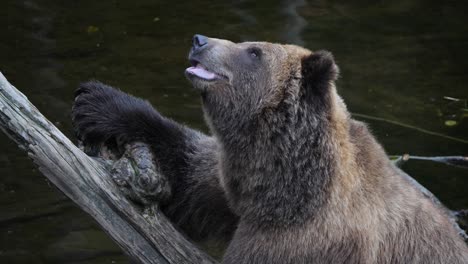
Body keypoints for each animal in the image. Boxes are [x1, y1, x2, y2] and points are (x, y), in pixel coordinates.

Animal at [72, 35, 468, 264]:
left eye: (253, 51)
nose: (200, 39)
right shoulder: (235, 189)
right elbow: (190, 176)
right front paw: (97, 103)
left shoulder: (307, 243)